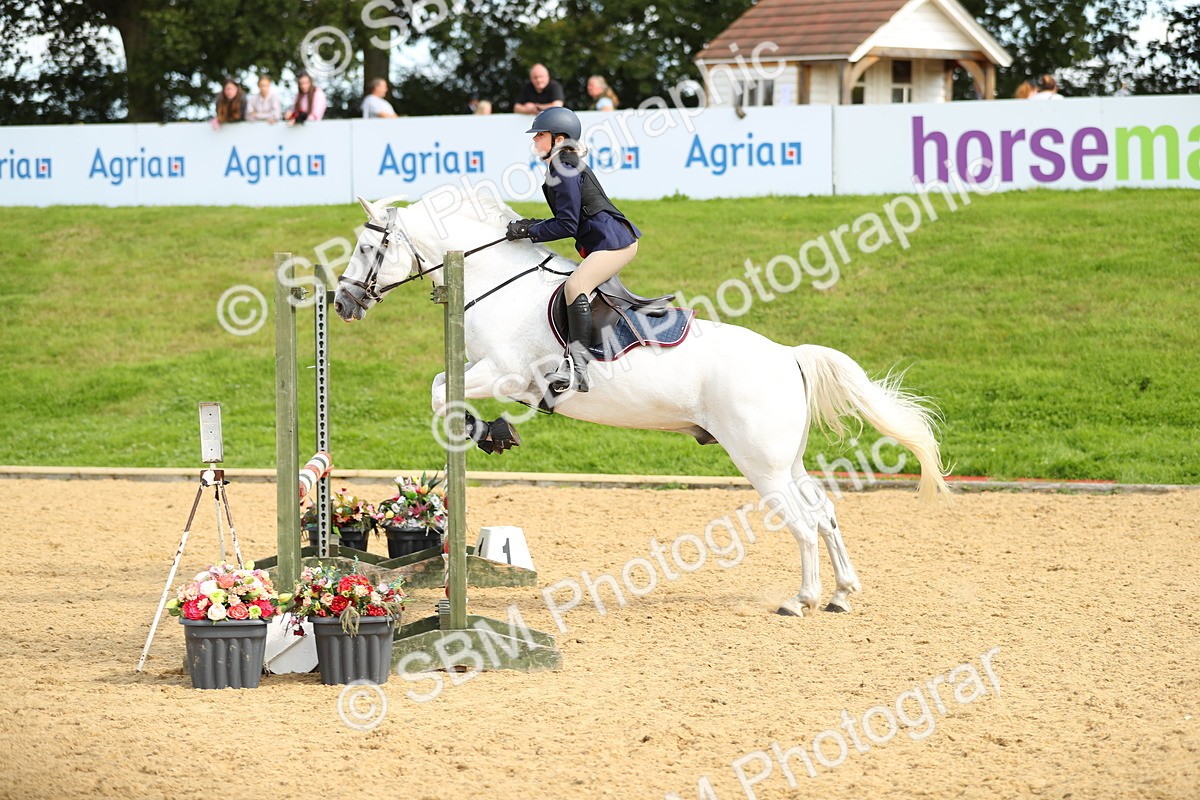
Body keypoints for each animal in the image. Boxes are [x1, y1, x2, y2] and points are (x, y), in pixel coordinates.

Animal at [333, 189, 949, 616]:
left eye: (365, 248)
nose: (342, 303)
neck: (495, 281)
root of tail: (787, 357)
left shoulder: (507, 374)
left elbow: (442, 388)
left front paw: (486, 431)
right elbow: (443, 382)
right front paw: (491, 432)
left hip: (761, 462)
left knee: (800, 521)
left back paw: (802, 599)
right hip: (785, 458)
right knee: (822, 511)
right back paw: (842, 593)